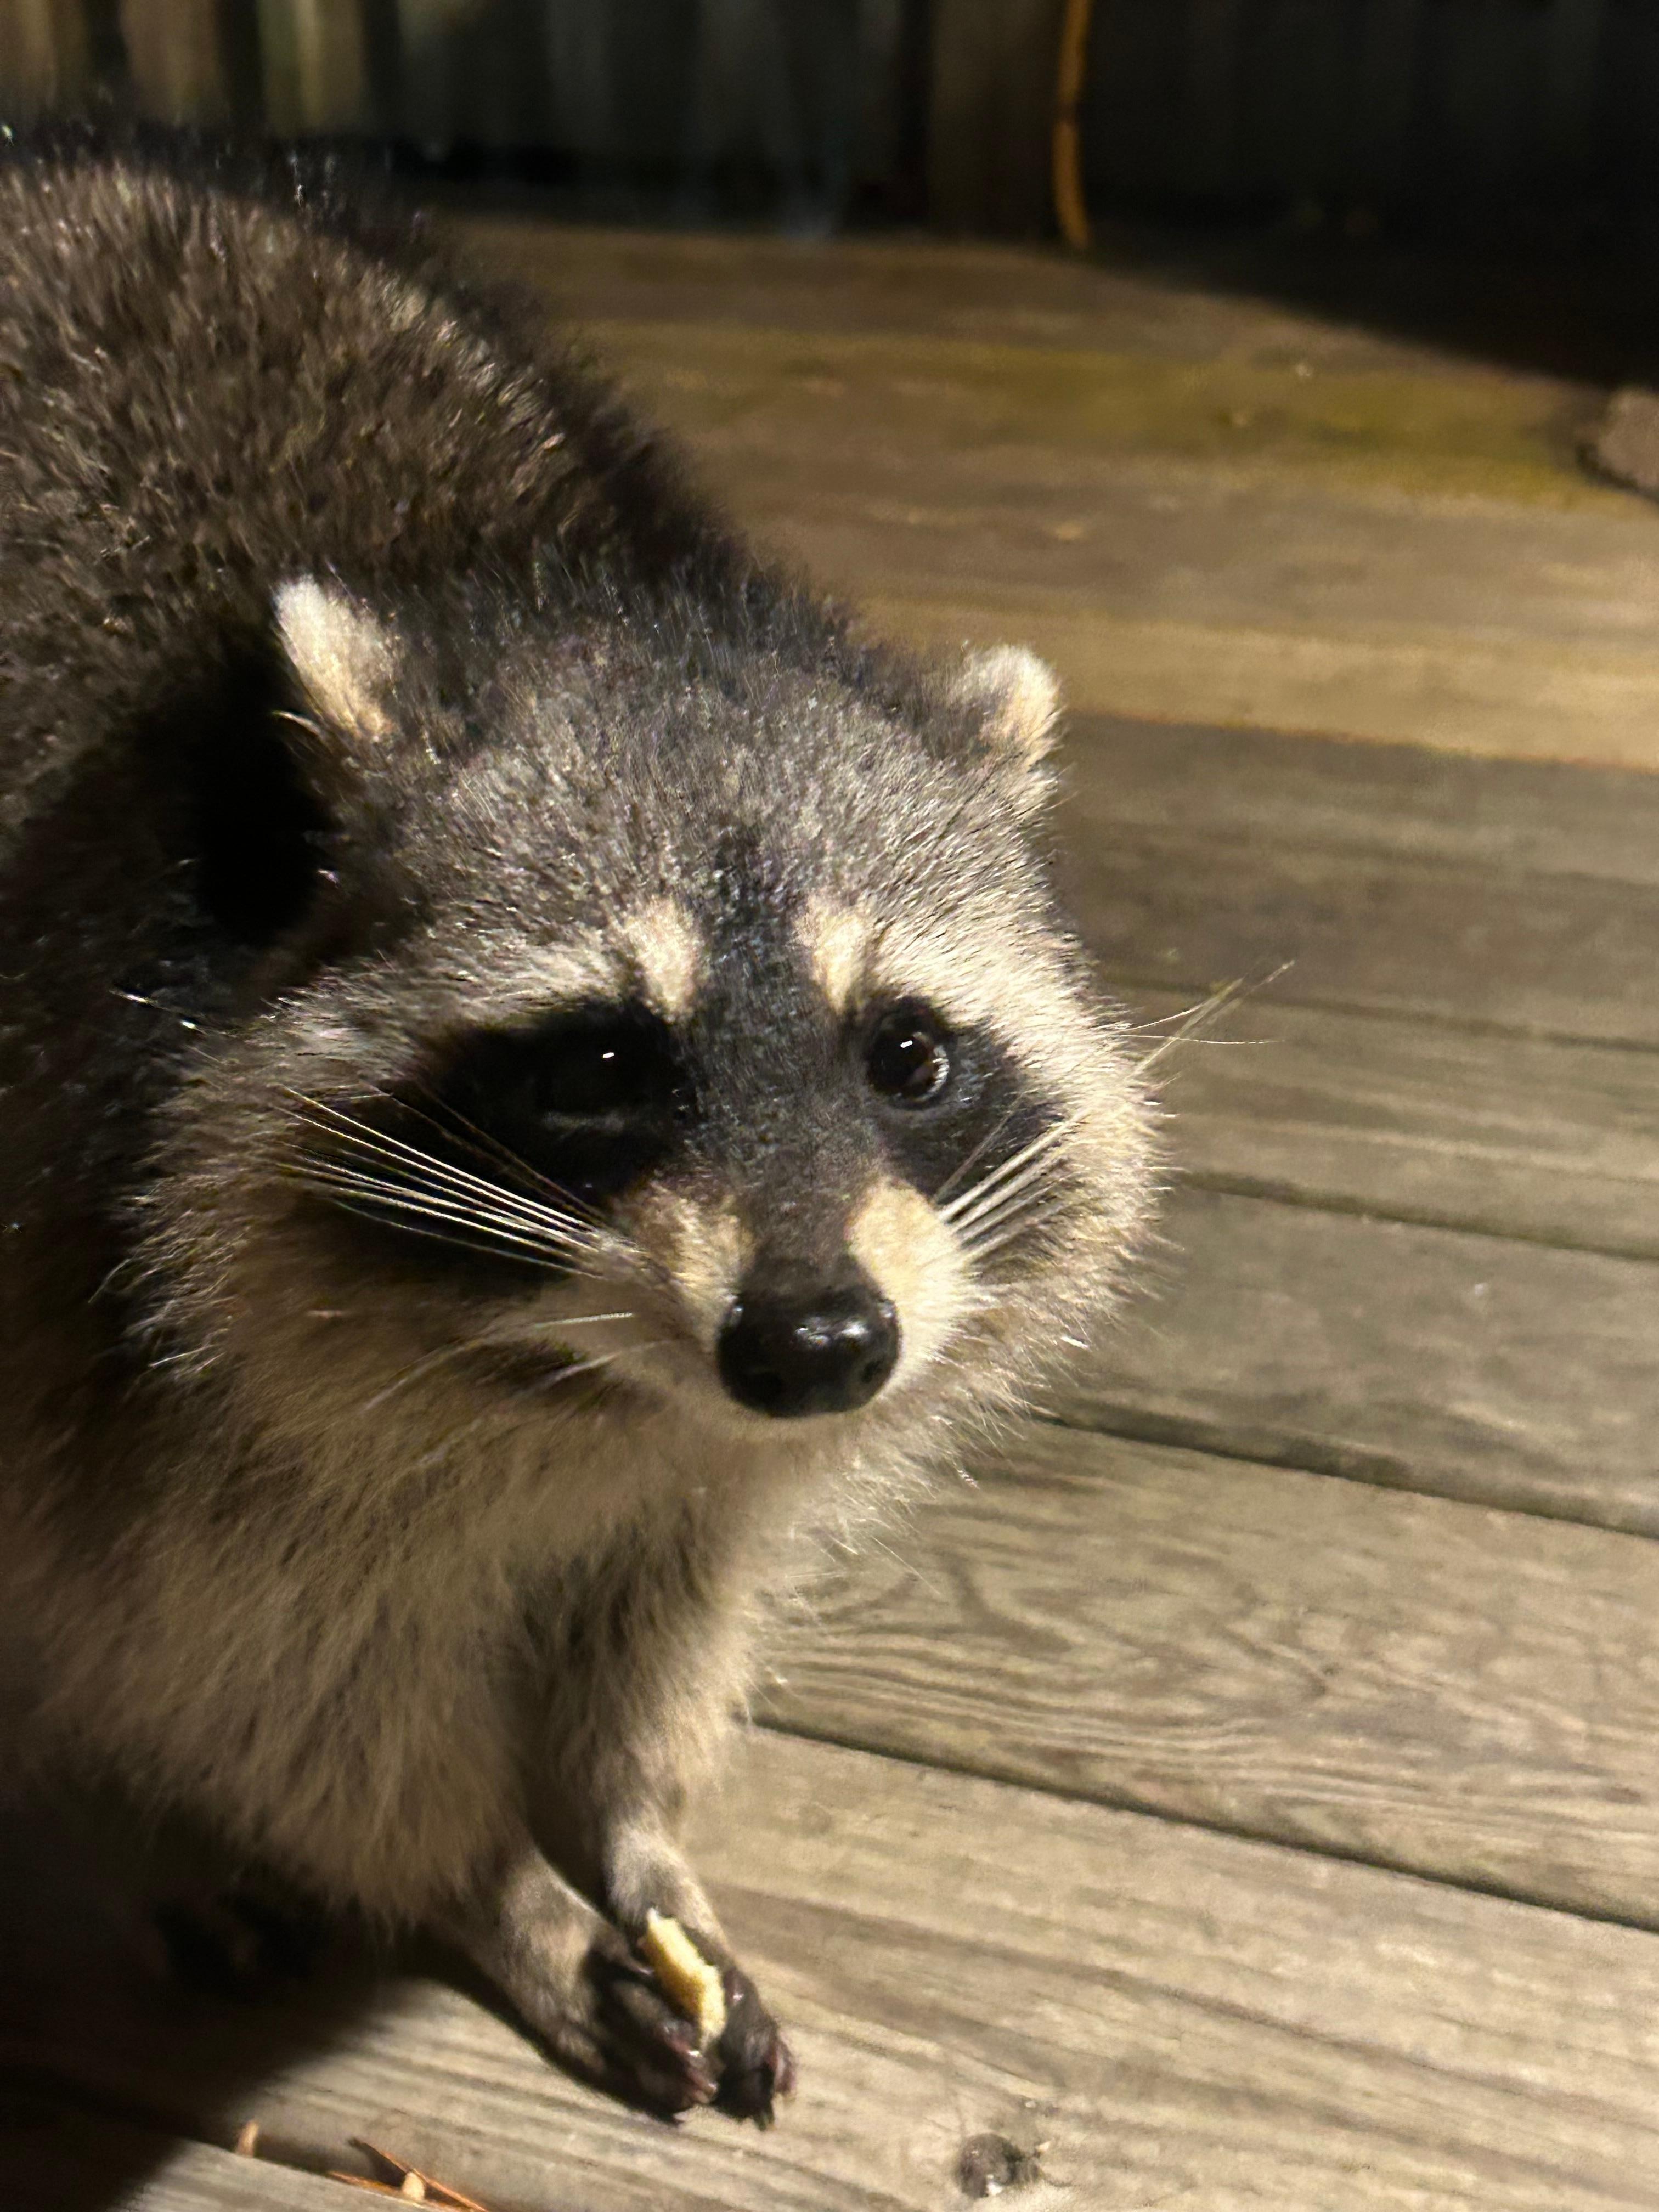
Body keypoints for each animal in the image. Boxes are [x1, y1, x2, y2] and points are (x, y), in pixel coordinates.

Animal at [0, 138, 1156, 2120]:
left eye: (908, 1056)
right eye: (602, 1065)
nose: (817, 1344)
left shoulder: (689, 1469)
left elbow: (653, 1609)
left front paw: (628, 1826)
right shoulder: (105, 1302)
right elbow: (256, 1678)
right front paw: (482, 1885)